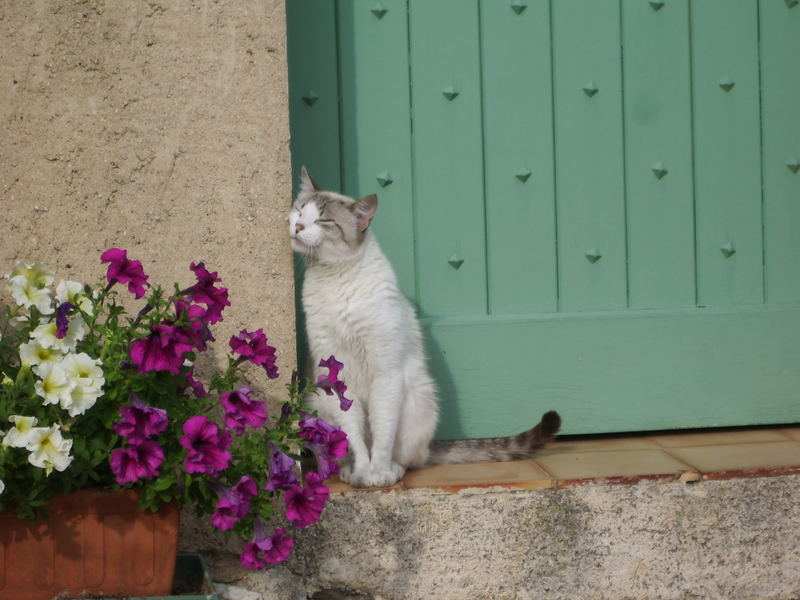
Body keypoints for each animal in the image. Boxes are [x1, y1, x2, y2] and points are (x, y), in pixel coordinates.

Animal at [290, 164, 564, 488]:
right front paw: (362, 473)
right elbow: (355, 437)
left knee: (410, 458)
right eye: (298, 211)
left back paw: (392, 471)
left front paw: (378, 474)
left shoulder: (386, 374)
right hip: (318, 401)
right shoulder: (336, 375)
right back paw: (348, 472)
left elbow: (382, 436)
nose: (297, 227)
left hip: (417, 396)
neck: (336, 277)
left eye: (323, 220)